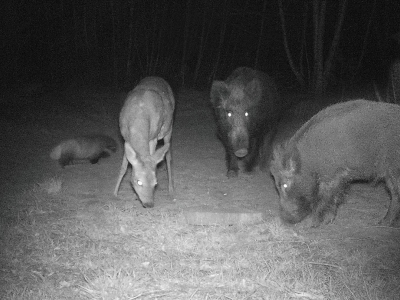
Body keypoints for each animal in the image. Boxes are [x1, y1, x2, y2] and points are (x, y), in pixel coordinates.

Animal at [113, 76, 174, 207]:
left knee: (168, 157)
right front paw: (114, 193)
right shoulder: (125, 138)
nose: (149, 203)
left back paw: (171, 190)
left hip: (169, 128)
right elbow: (123, 168)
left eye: (155, 183)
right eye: (138, 182)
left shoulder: (153, 137)